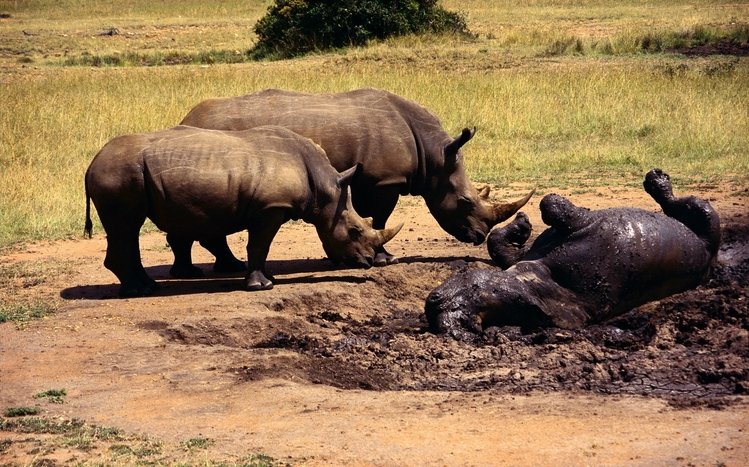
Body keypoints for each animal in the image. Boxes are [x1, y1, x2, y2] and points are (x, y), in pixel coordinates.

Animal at [84, 125, 402, 297]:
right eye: (355, 231)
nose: (368, 262)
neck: (325, 190)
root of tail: (91, 164)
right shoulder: (270, 208)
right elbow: (259, 245)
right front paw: (263, 286)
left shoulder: (268, 208)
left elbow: (259, 246)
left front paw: (268, 279)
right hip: (118, 174)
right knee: (126, 226)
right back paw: (139, 292)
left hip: (124, 174)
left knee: (127, 229)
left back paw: (147, 287)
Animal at [179, 87, 533, 268]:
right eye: (464, 202)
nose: (479, 237)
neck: (434, 155)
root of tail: (187, 118)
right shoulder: (384, 180)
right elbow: (379, 217)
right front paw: (385, 257)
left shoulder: (368, 180)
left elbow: (363, 215)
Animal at [425, 169, 721, 340]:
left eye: (475, 291)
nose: (437, 307)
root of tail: (710, 257)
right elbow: (548, 207)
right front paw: (524, 223)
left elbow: (544, 210)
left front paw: (522, 224)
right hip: (704, 216)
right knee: (678, 204)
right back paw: (657, 180)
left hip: (704, 219)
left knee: (679, 204)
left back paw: (656, 179)